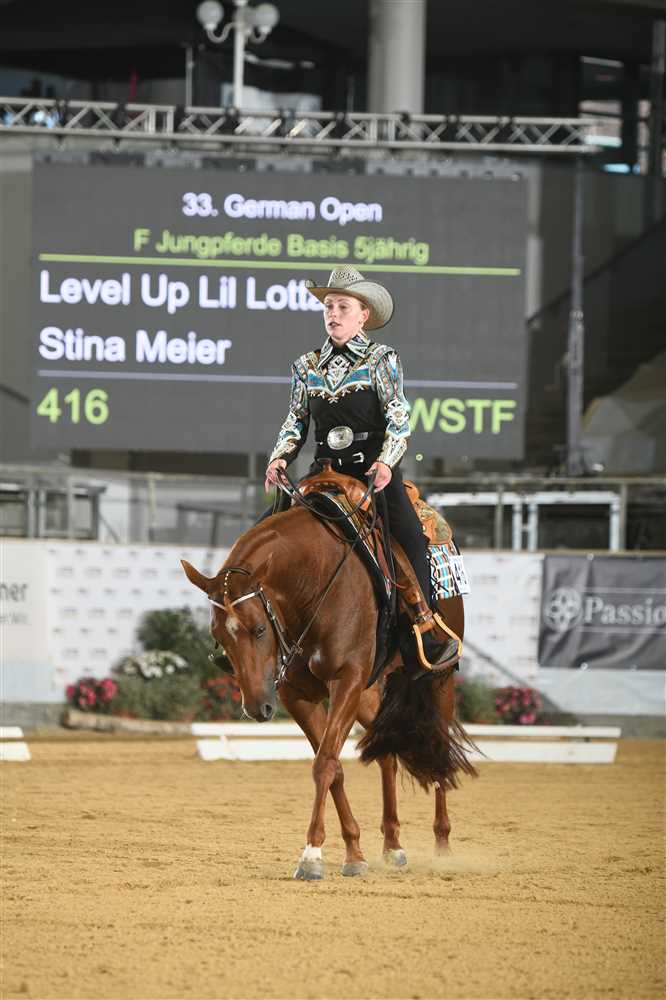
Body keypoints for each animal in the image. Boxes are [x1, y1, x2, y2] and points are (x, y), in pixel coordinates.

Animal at [181, 491, 477, 880]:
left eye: (258, 629)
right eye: (218, 636)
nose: (257, 707)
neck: (313, 584)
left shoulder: (346, 681)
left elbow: (324, 763)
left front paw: (311, 855)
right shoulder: (298, 696)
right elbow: (332, 764)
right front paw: (353, 852)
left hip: (437, 679)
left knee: (437, 744)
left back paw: (442, 846)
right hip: (370, 695)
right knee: (387, 754)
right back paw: (393, 846)